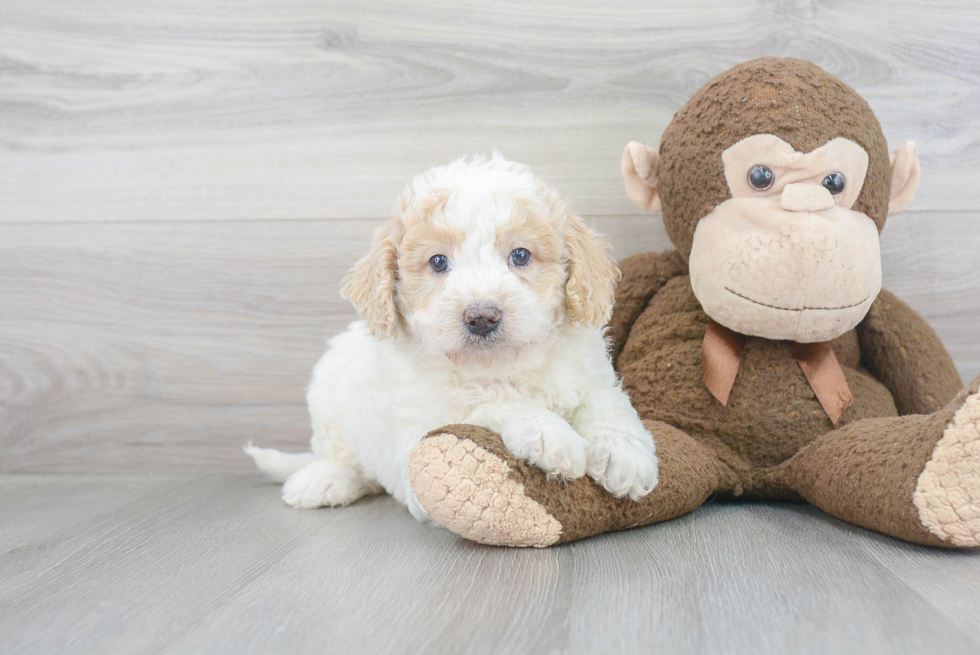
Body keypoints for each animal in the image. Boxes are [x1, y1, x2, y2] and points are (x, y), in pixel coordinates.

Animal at [245, 152, 660, 524]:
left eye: (520, 255)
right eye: (438, 262)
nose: (482, 317)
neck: (498, 365)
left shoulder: (590, 376)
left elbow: (609, 404)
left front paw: (626, 456)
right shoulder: (415, 438)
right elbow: (484, 404)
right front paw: (549, 435)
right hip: (328, 398)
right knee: (341, 458)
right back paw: (324, 481)